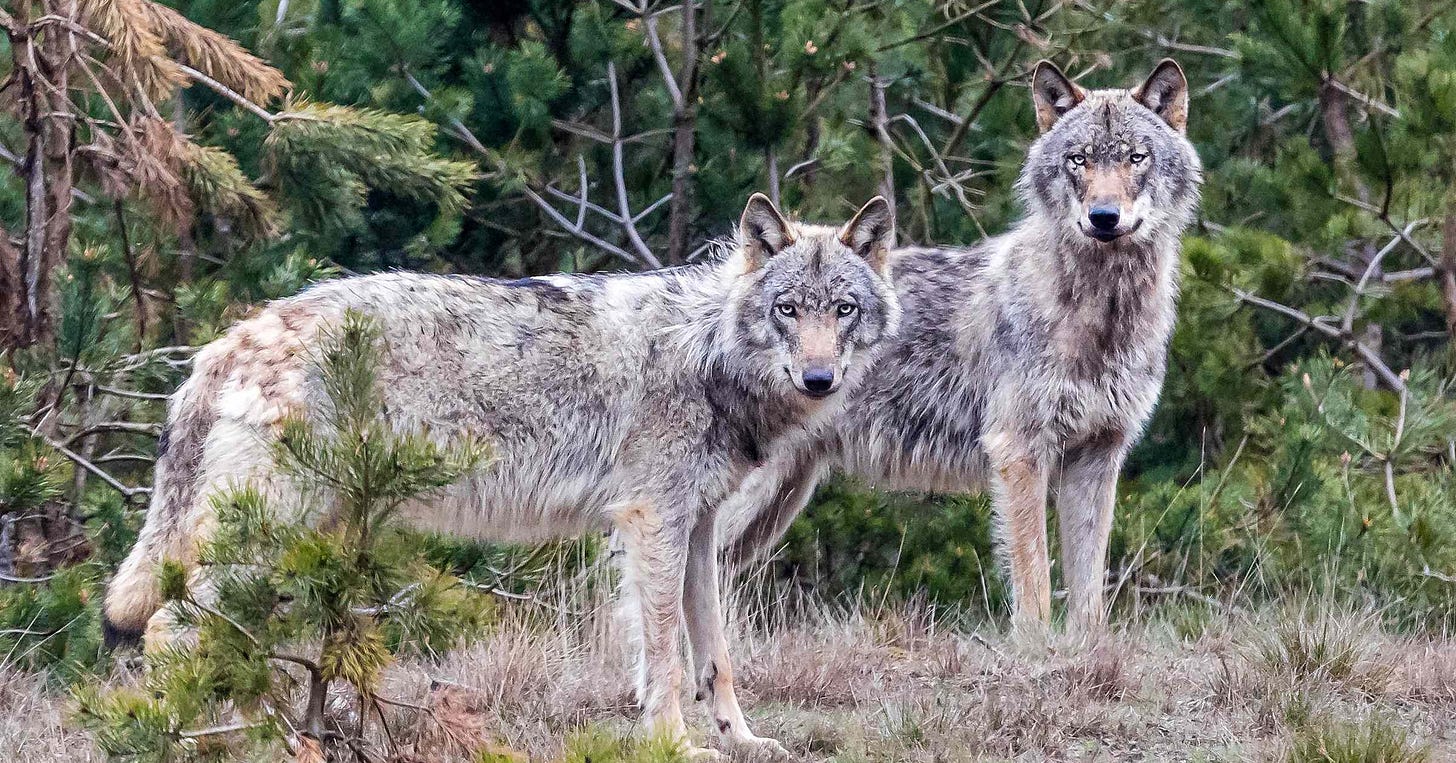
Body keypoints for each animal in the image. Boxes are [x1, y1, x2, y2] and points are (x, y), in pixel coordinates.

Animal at [103, 194, 900, 757]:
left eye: (843, 309)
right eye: (787, 309)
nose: (820, 378)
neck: (708, 351)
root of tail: (225, 341)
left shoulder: (699, 526)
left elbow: (717, 655)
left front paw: (744, 739)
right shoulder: (653, 521)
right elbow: (666, 656)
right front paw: (674, 744)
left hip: (298, 539)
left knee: (234, 638)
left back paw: (271, 734)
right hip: (270, 534)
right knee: (174, 628)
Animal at [718, 59, 1202, 638]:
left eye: (1135, 157)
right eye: (1079, 159)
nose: (1103, 216)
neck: (1101, 315)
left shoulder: (1098, 457)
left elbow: (1089, 592)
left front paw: (1088, 650)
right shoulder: (1019, 451)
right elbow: (1035, 579)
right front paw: (1034, 649)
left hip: (779, 499)